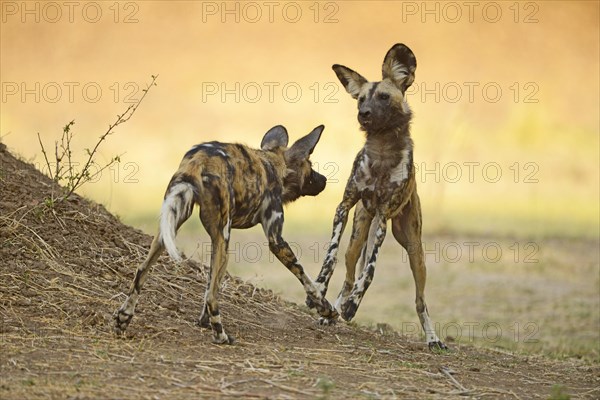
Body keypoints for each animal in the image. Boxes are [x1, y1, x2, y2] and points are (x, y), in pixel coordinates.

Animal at [112, 125, 338, 344]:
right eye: (310, 165)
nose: (325, 179)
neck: (274, 164)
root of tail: (200, 159)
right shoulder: (276, 240)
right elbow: (307, 280)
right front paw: (328, 310)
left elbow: (209, 283)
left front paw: (203, 322)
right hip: (224, 239)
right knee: (212, 296)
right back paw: (221, 336)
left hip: (173, 227)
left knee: (142, 270)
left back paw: (123, 318)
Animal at [308, 43, 448, 350]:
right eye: (360, 99)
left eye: (383, 97)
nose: (364, 113)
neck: (382, 149)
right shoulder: (344, 206)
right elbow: (330, 257)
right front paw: (319, 289)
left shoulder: (384, 217)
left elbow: (370, 272)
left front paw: (352, 305)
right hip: (357, 236)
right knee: (349, 275)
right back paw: (332, 310)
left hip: (415, 251)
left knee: (420, 300)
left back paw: (432, 338)